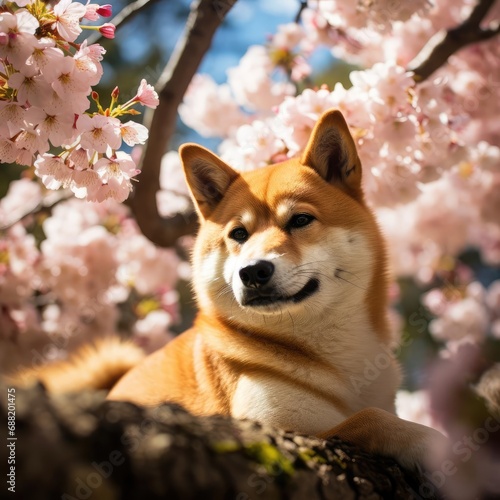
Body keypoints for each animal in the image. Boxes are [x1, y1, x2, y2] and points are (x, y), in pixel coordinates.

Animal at [11, 108, 444, 468]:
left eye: (301, 220)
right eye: (239, 234)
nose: (252, 272)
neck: (338, 361)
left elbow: (373, 412)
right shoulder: (272, 425)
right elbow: (372, 418)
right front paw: (435, 443)